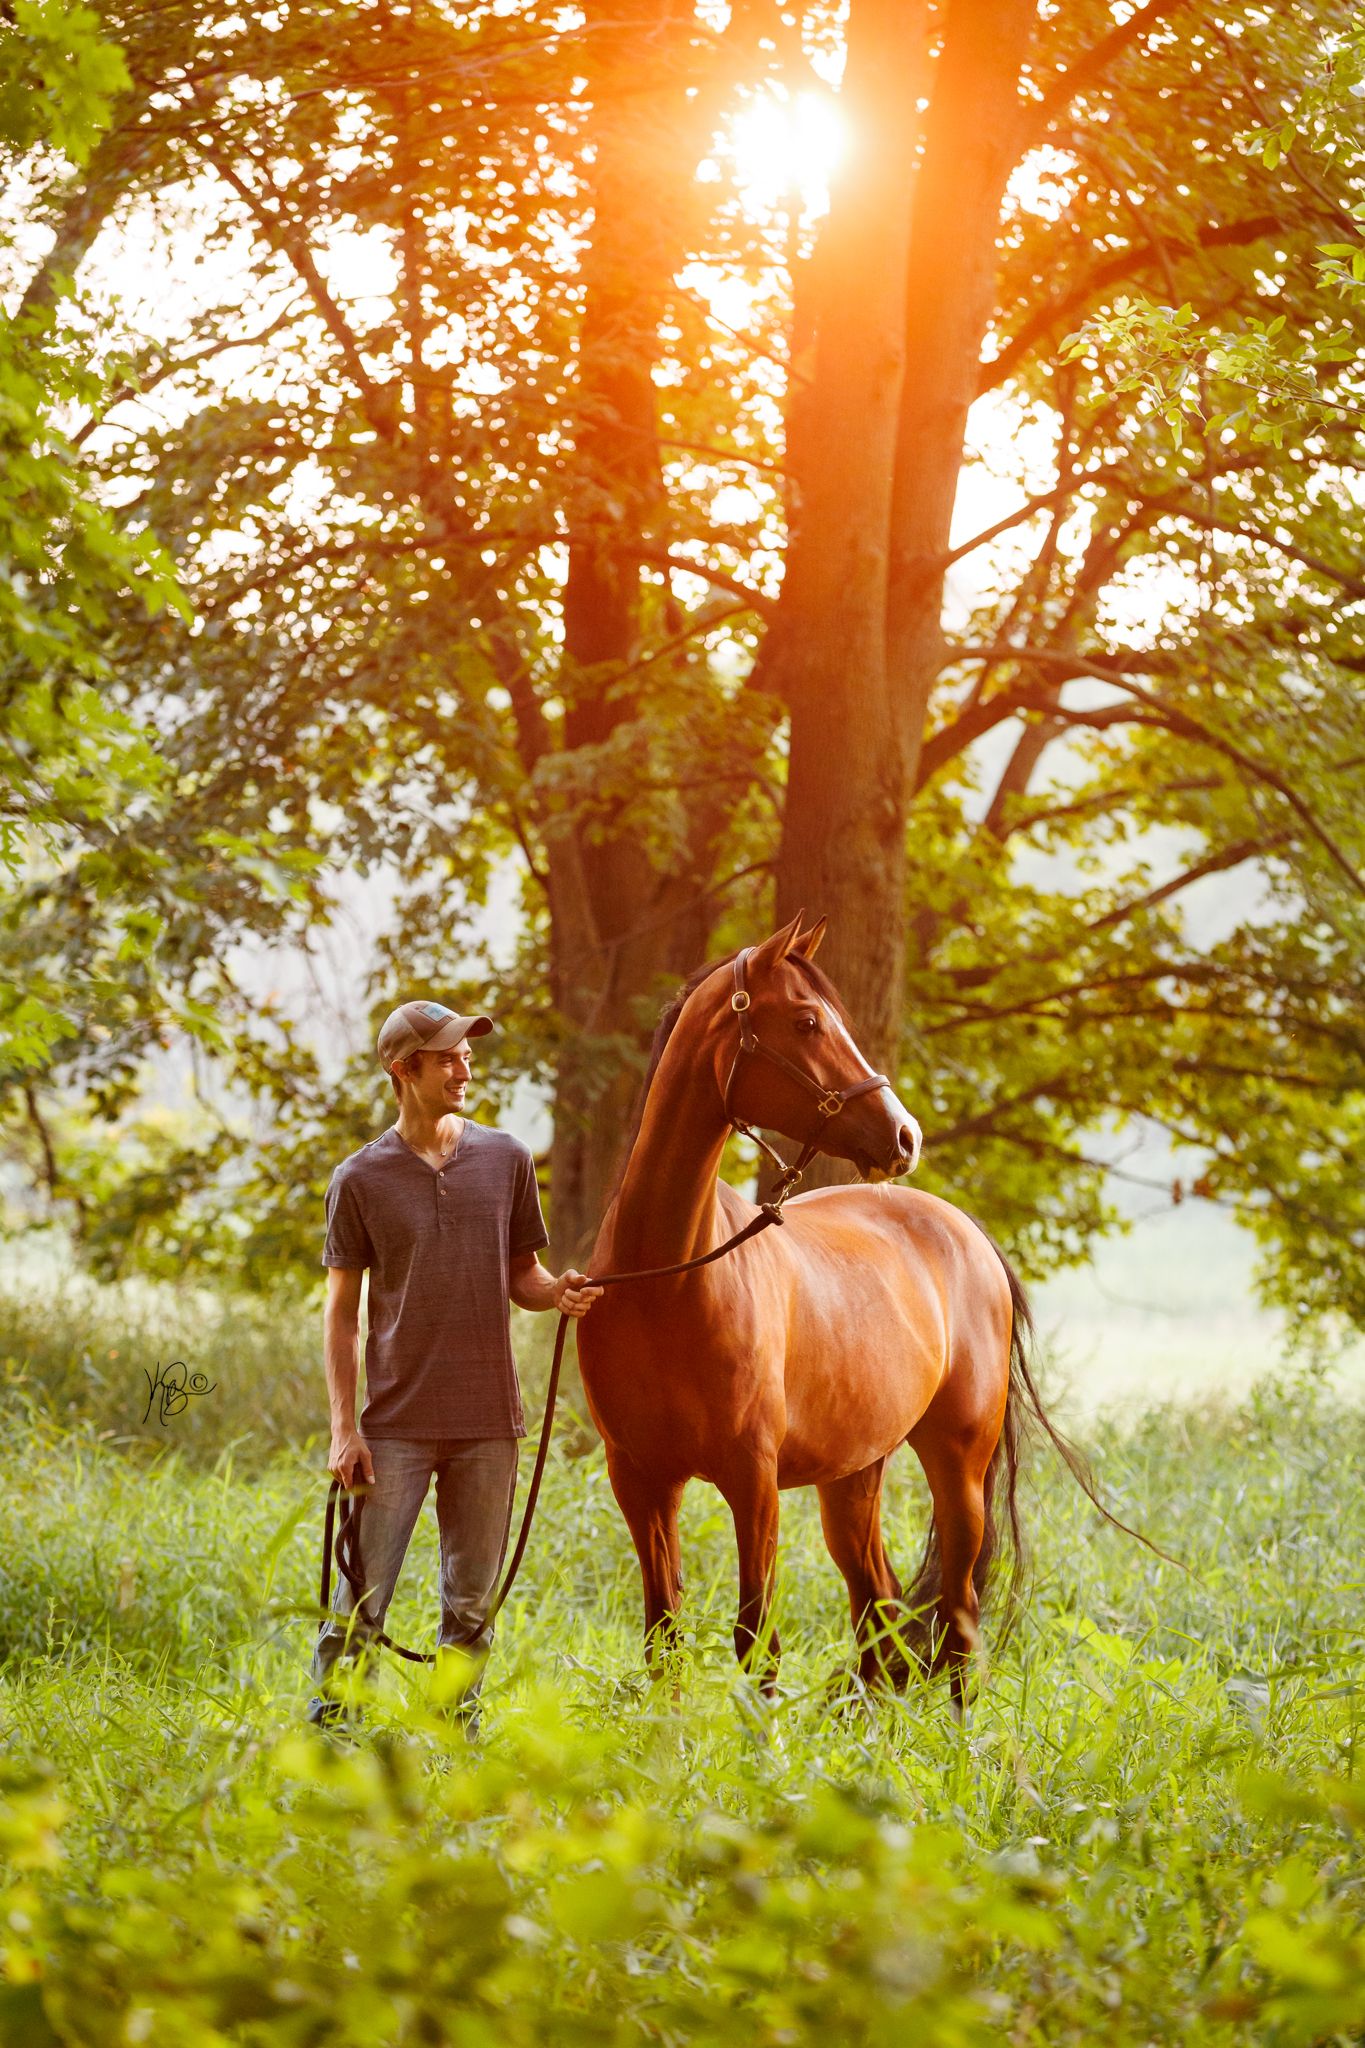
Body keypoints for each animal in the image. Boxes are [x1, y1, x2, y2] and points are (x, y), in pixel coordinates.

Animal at [576, 910, 1094, 1705]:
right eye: (808, 1020)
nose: (905, 1135)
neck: (666, 1281)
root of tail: (968, 1234)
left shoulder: (752, 1480)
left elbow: (755, 1644)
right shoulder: (640, 1481)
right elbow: (663, 1641)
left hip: (957, 1468)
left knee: (958, 1620)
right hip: (853, 1475)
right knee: (878, 1610)